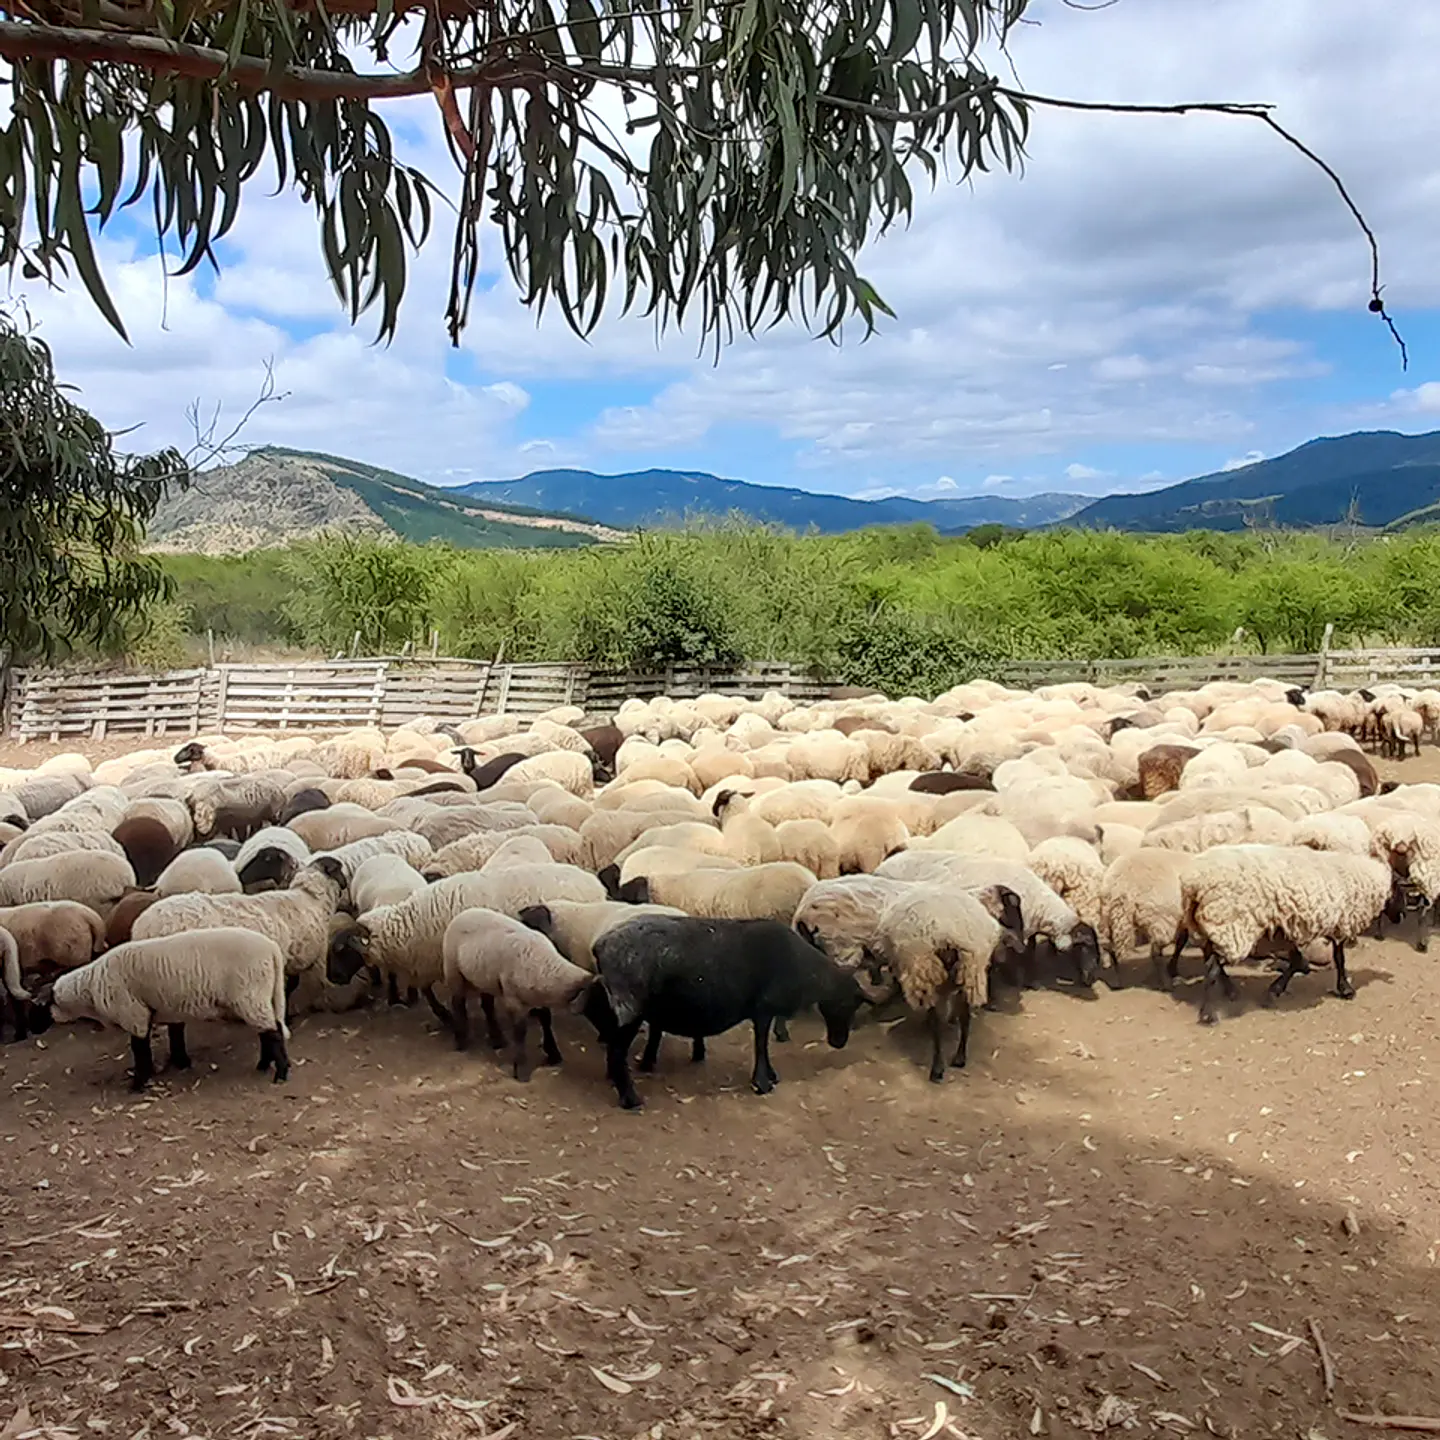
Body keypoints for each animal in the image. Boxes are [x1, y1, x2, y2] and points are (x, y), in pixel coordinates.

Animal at [27, 928, 290, 1090]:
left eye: (36, 1007)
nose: (33, 1030)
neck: (90, 988)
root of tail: (271, 949)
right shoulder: (159, 1011)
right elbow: (170, 1039)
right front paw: (176, 1064)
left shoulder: (133, 1013)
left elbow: (139, 1049)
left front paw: (138, 1084)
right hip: (257, 996)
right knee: (268, 1030)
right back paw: (263, 1065)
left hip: (250, 994)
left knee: (273, 1032)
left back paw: (281, 1073)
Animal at [442, 908, 594, 1077]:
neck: (545, 964)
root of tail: (466, 911)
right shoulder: (513, 999)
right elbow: (520, 1032)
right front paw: (521, 1069)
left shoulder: (539, 997)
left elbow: (546, 1020)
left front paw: (553, 1053)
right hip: (453, 970)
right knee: (458, 1003)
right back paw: (461, 1041)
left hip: (484, 976)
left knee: (487, 1005)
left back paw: (497, 1039)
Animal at [584, 915, 867, 1108]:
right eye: (847, 1004)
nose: (839, 1042)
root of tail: (601, 945)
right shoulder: (763, 1009)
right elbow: (761, 1043)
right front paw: (763, 1082)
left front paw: (770, 1077)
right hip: (629, 1008)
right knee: (617, 1050)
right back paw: (631, 1098)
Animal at [871, 885, 1021, 1081]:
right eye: (1013, 910)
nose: (1020, 944)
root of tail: (950, 936)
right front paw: (952, 1018)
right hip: (970, 969)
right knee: (965, 1017)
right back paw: (959, 1057)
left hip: (927, 971)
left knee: (936, 1021)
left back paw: (937, 1067)